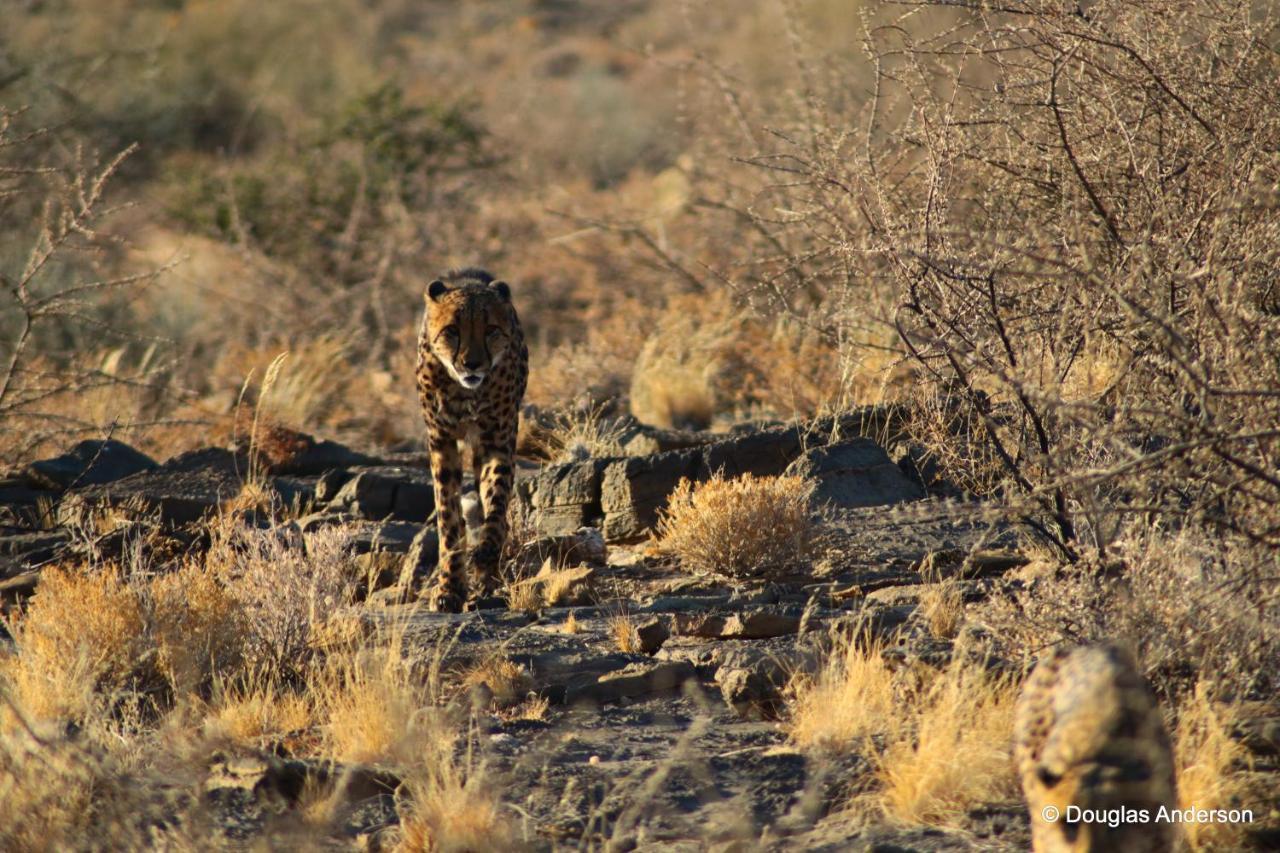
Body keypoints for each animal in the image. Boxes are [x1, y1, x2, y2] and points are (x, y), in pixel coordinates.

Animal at [414, 268, 524, 607]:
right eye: (452, 330)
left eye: (490, 330)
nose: (472, 363)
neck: (466, 392)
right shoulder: (442, 442)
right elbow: (448, 517)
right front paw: (450, 588)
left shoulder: (496, 440)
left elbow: (496, 503)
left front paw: (486, 555)